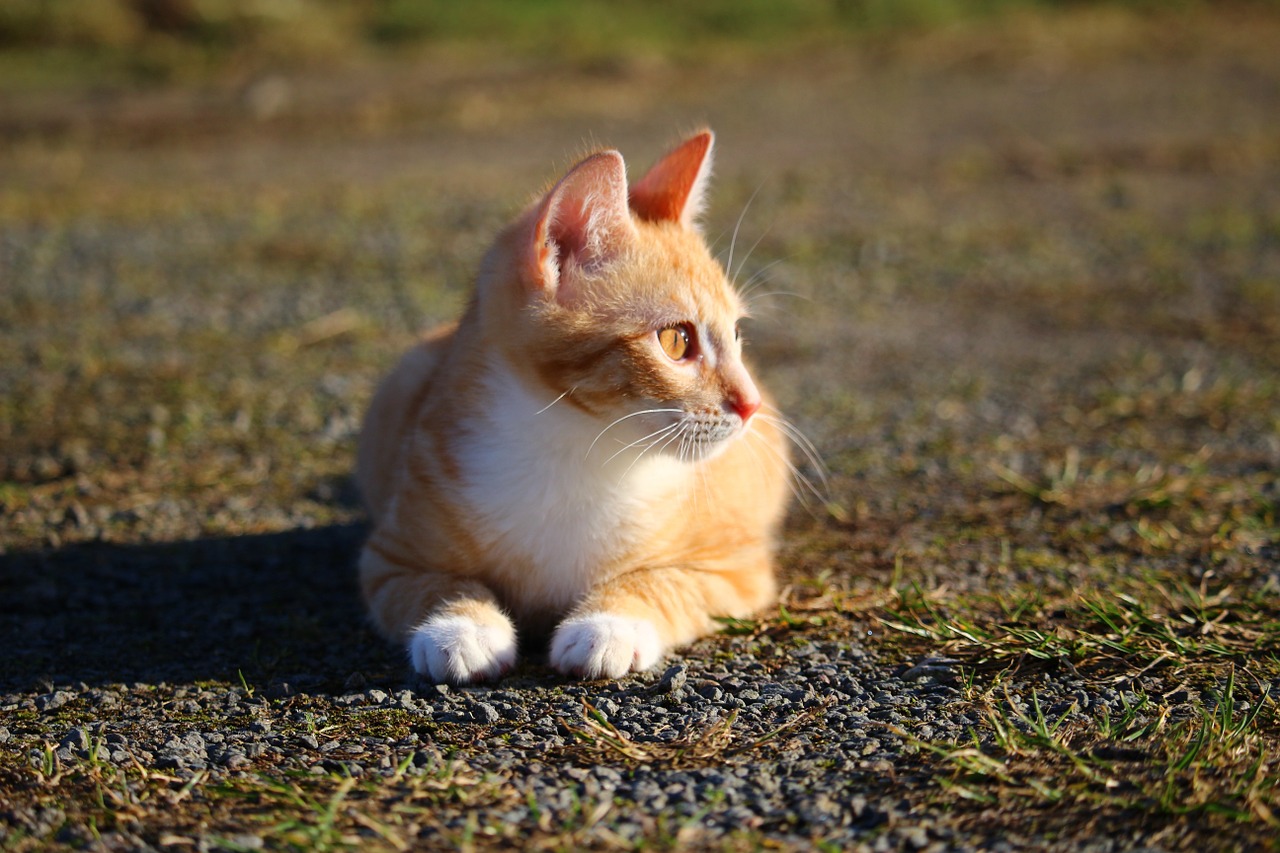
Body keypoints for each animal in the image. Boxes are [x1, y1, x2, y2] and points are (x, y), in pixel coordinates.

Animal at [350, 128, 788, 686]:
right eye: (676, 340)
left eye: (736, 335)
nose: (751, 404)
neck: (576, 449)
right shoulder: (390, 556)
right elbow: (433, 583)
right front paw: (461, 627)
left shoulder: (734, 565)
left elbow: (664, 582)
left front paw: (609, 625)